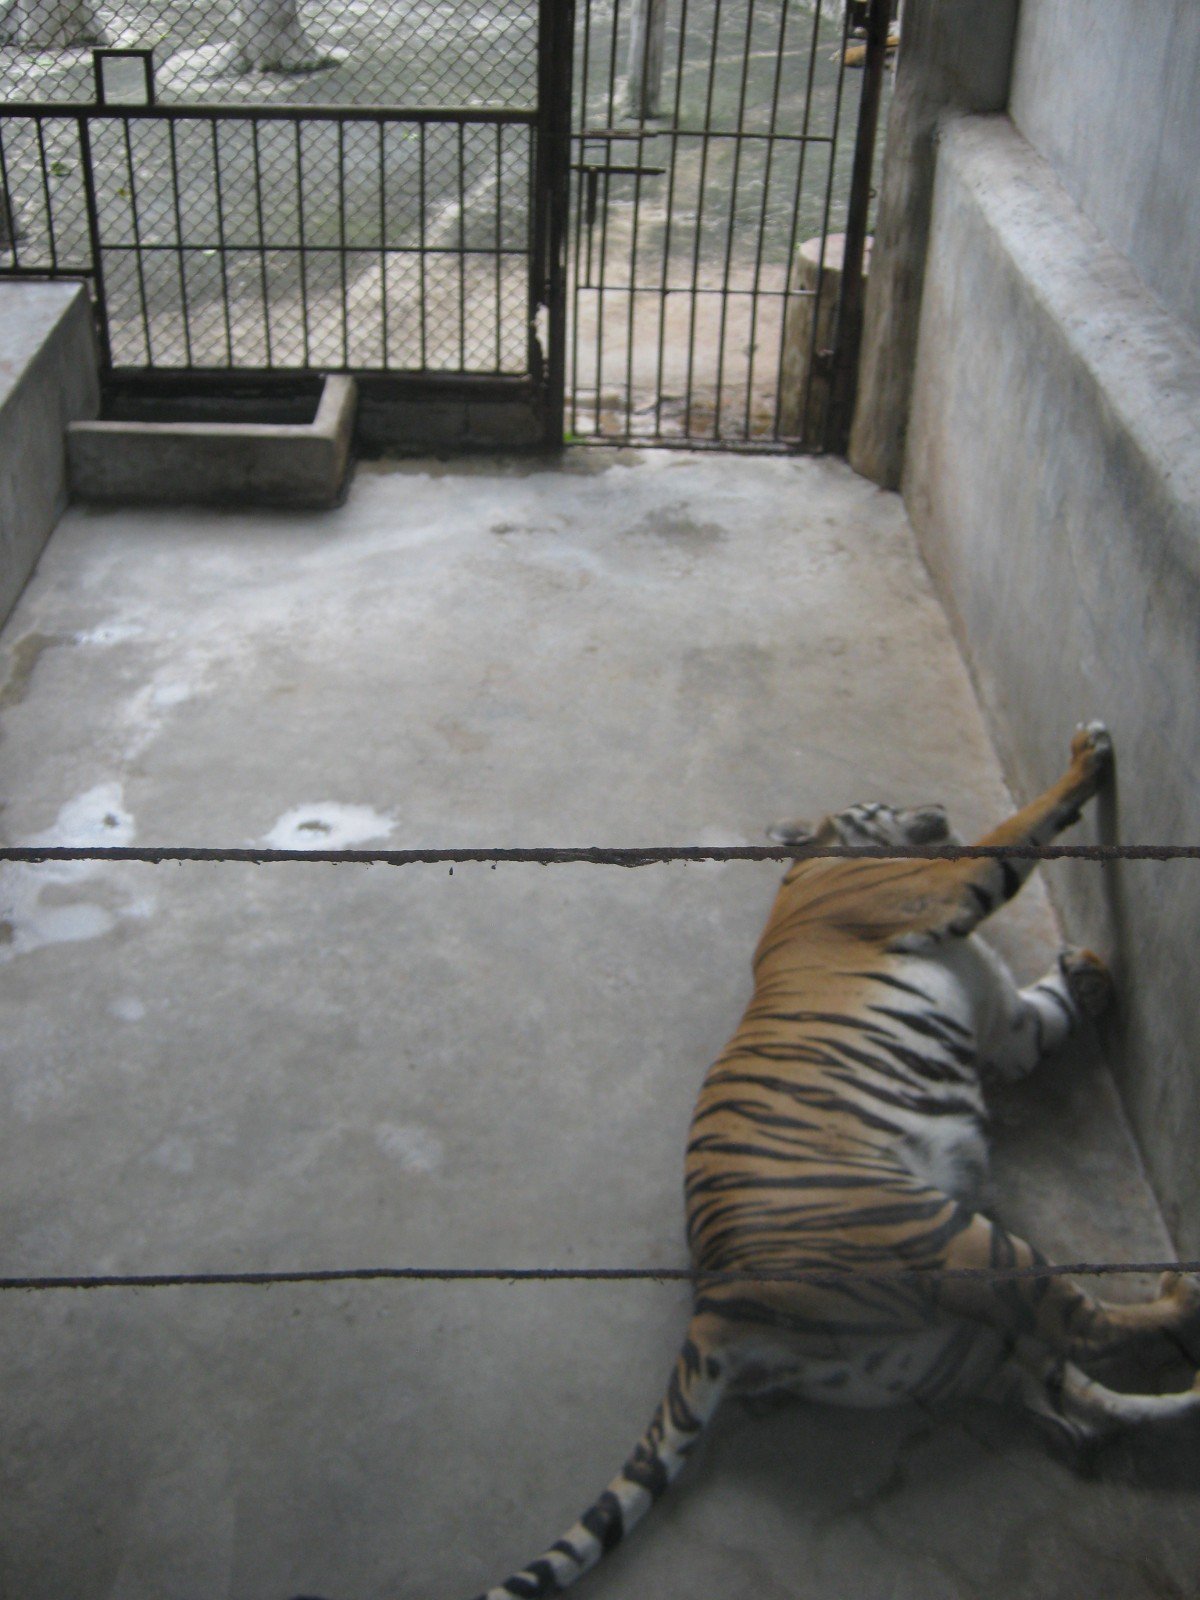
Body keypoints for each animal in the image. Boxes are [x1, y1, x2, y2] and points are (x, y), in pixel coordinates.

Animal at [470, 726, 1200, 1600]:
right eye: (883, 797)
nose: (935, 803)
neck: (824, 858)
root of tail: (712, 1307)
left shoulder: (1009, 1029)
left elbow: (1048, 1009)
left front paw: (1088, 969)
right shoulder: (941, 891)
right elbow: (1017, 830)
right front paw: (1087, 758)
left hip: (946, 1348)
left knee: (1070, 1388)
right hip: (956, 1242)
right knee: (1087, 1332)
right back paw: (1182, 1298)